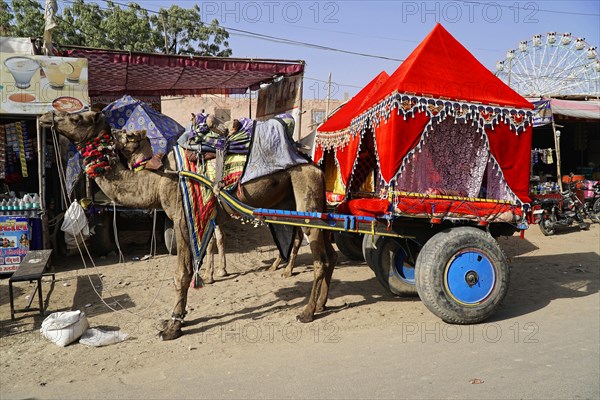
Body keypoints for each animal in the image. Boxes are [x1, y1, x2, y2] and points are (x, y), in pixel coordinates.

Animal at [38, 110, 338, 340]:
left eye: (77, 118)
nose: (46, 116)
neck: (159, 179)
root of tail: (314, 164)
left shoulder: (183, 220)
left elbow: (181, 274)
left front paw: (172, 326)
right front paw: (179, 317)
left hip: (306, 193)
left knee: (320, 257)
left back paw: (306, 312)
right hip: (306, 200)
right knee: (329, 252)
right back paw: (321, 304)